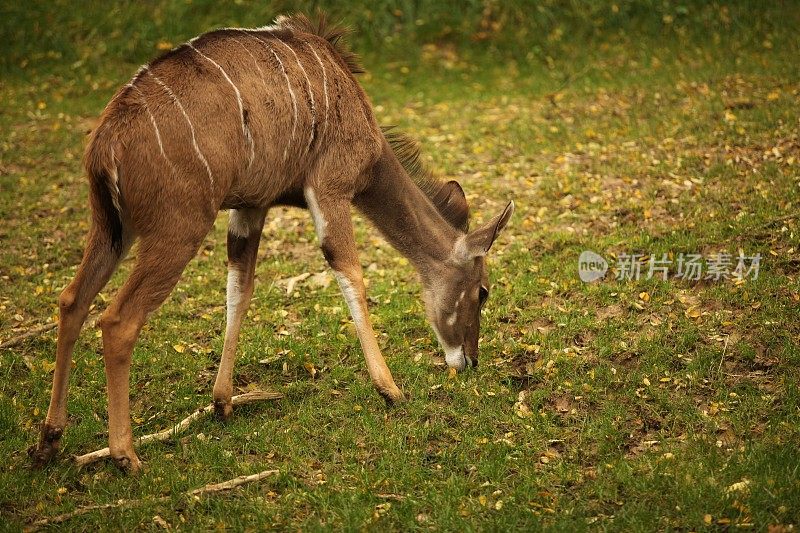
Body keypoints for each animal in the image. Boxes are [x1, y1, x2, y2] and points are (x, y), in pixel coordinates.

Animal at [31, 12, 512, 470]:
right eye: (483, 292)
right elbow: (350, 274)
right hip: (177, 230)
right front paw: (390, 389)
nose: (468, 360)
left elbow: (239, 289)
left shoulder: (251, 206)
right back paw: (124, 455)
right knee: (117, 321)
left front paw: (222, 401)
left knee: (72, 300)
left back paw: (49, 442)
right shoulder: (329, 187)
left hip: (111, 229)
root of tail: (106, 142)